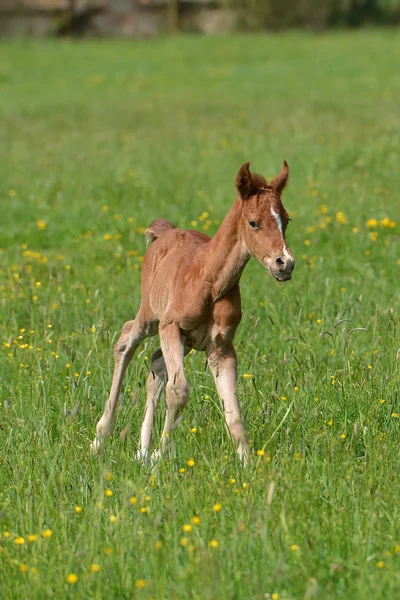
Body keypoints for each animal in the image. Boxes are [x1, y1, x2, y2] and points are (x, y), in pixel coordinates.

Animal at [91, 163, 296, 464]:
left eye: (286, 219)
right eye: (253, 222)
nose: (285, 264)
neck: (210, 280)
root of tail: (165, 231)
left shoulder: (221, 348)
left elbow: (233, 413)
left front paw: (247, 465)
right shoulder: (171, 327)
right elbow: (179, 391)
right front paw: (161, 454)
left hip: (184, 342)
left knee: (155, 365)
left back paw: (141, 450)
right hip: (152, 317)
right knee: (126, 339)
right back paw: (101, 438)